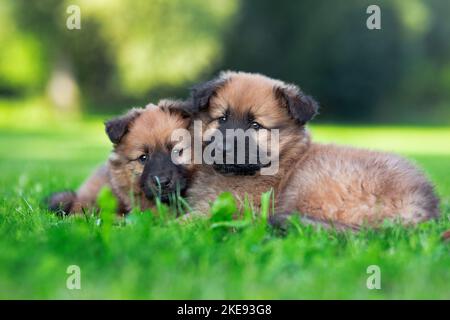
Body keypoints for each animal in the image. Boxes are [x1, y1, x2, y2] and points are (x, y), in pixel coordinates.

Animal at [185, 72, 440, 228]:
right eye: (222, 118)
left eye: (256, 125)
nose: (224, 148)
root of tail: (420, 201)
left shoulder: (236, 206)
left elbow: (191, 219)